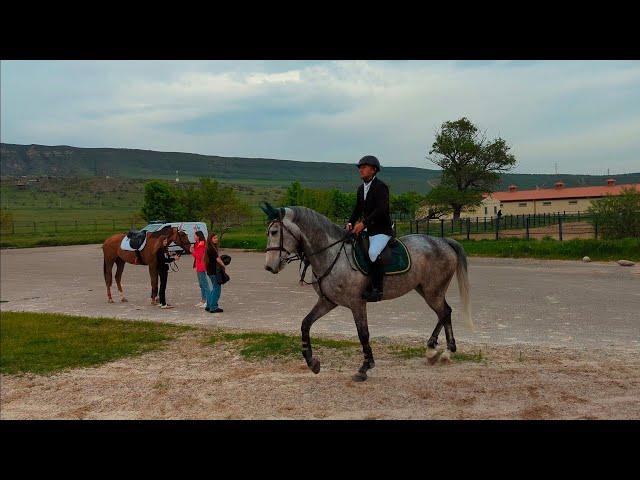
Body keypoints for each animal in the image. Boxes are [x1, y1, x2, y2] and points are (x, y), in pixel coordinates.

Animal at [262, 203, 476, 382]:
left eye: (274, 231)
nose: (269, 266)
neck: (332, 255)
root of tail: (443, 241)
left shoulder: (356, 303)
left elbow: (363, 333)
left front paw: (365, 368)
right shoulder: (327, 301)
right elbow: (305, 324)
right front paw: (312, 362)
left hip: (433, 291)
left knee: (445, 312)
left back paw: (446, 352)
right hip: (425, 289)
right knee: (443, 313)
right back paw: (432, 351)